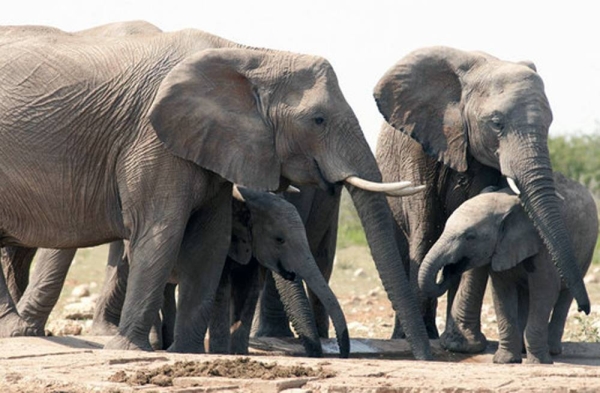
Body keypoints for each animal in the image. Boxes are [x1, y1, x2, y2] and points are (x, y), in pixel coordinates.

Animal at [0, 23, 432, 356]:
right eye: (318, 119)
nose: (427, 359)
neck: (248, 55)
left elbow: (209, 240)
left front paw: (187, 352)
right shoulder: (152, 139)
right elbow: (161, 232)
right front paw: (128, 351)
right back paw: (17, 331)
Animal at [420, 173, 596, 362]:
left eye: (470, 237)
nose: (449, 270)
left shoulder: (545, 245)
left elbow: (544, 289)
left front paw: (539, 362)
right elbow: (502, 291)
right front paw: (505, 360)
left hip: (586, 251)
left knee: (564, 296)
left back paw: (552, 350)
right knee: (526, 294)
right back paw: (524, 349)